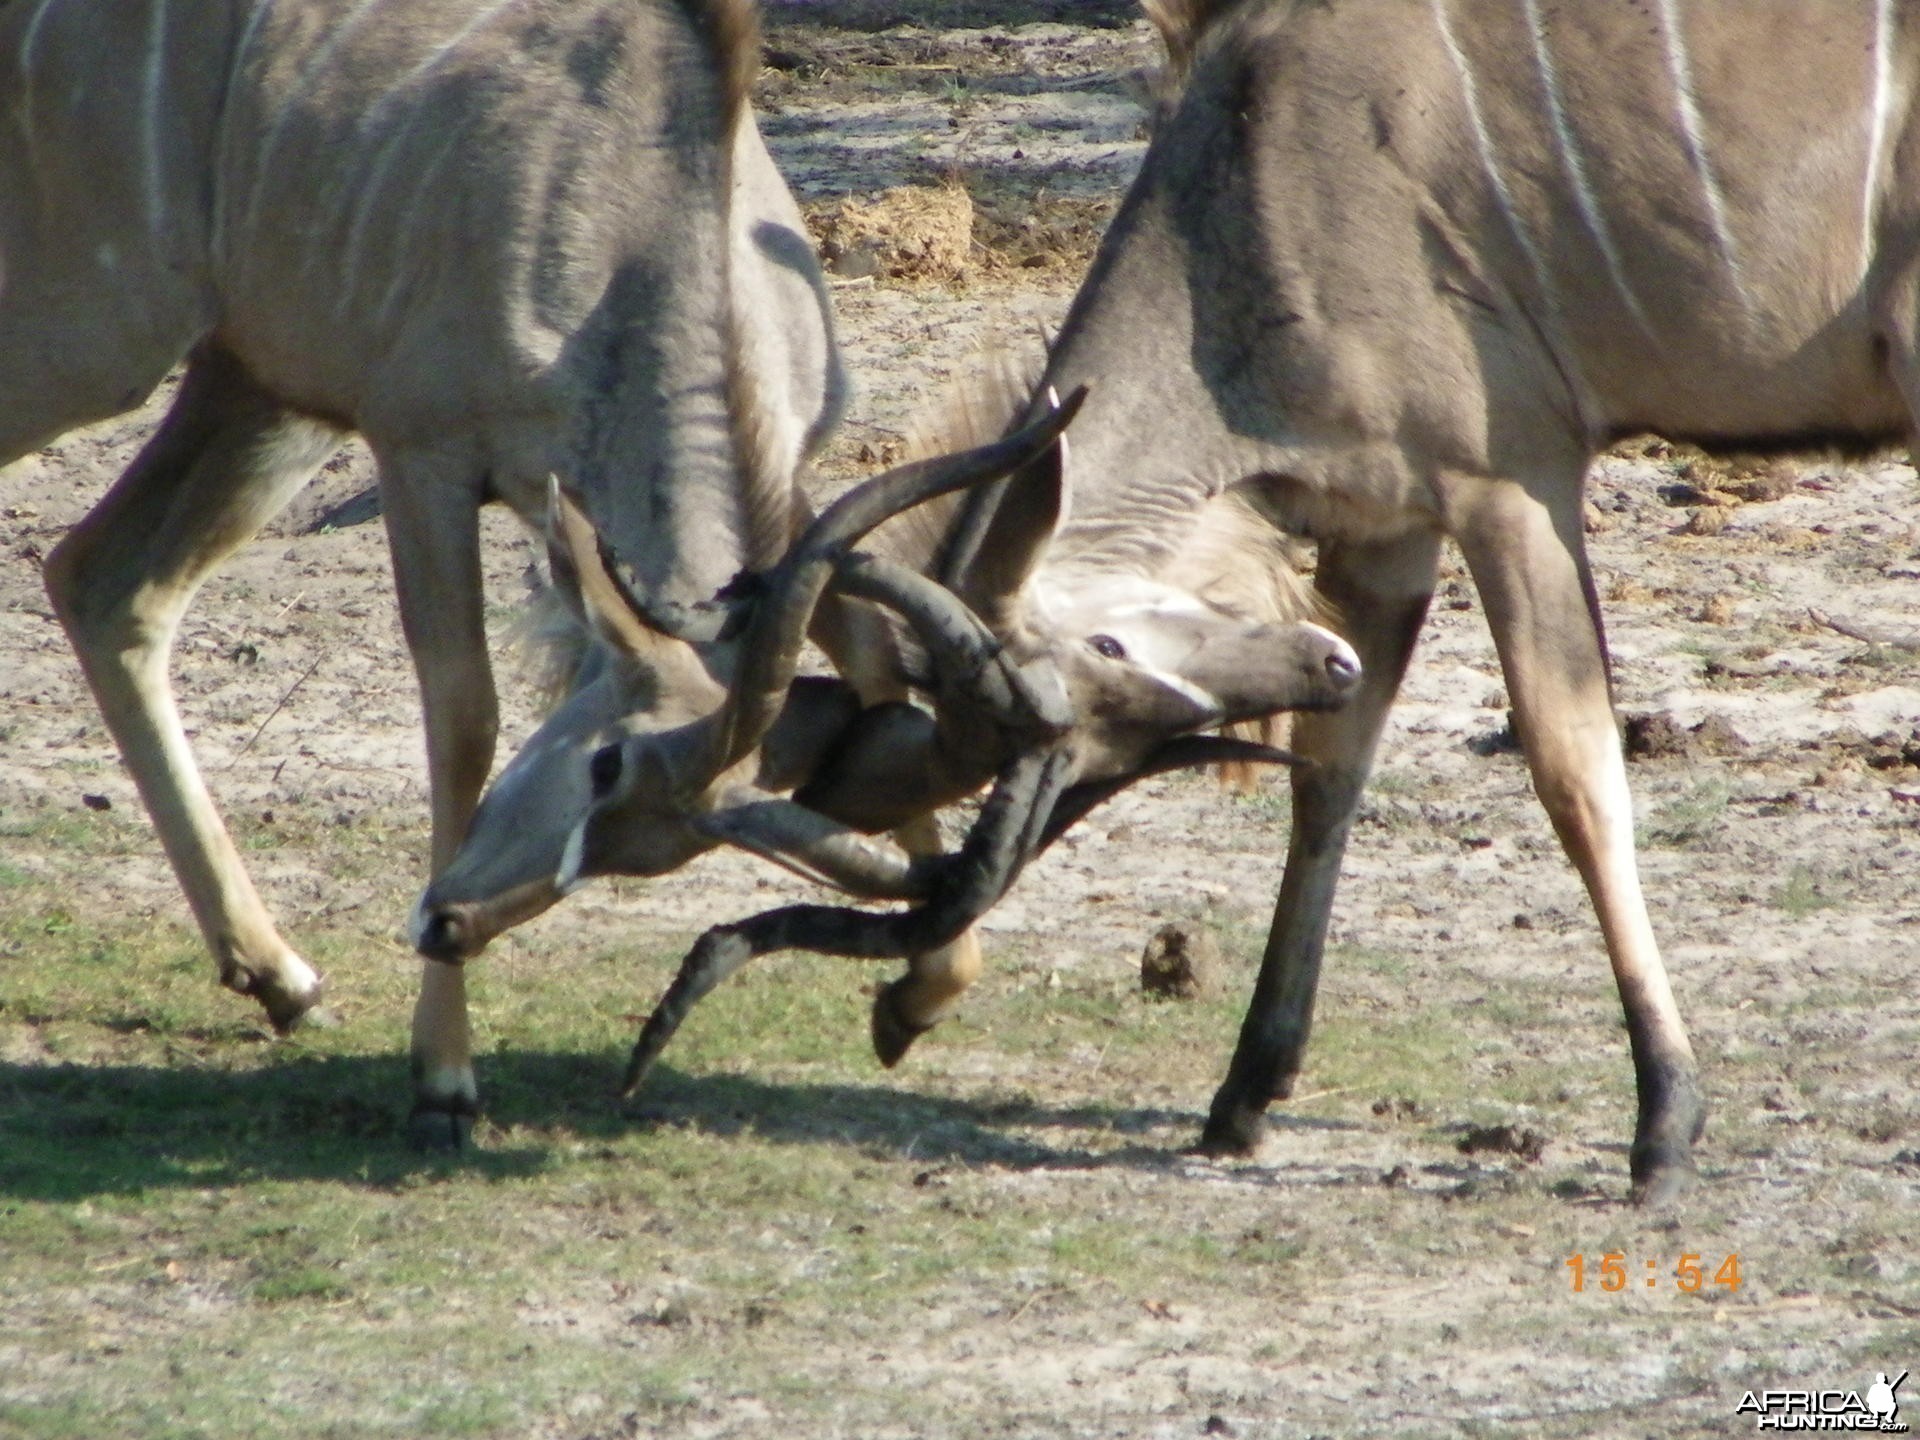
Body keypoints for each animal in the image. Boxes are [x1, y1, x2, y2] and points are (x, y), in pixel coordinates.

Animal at [983, 0, 1920, 1198]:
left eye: (1097, 657)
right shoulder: (1392, 523)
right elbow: (1329, 774)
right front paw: (1246, 1091)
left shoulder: (1509, 481)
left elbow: (1575, 771)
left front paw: (1665, 1122)